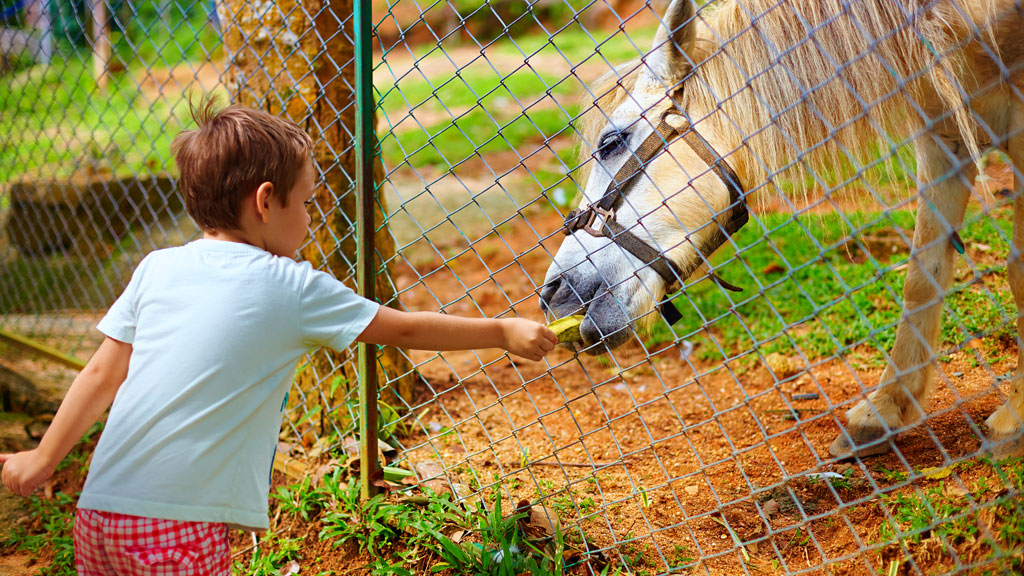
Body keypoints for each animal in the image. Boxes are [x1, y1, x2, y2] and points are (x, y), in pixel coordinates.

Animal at [540, 1, 1024, 457]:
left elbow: (1016, 272)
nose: (554, 293)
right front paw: (883, 410)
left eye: (611, 143)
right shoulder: (944, 132)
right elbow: (922, 277)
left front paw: (1013, 420)